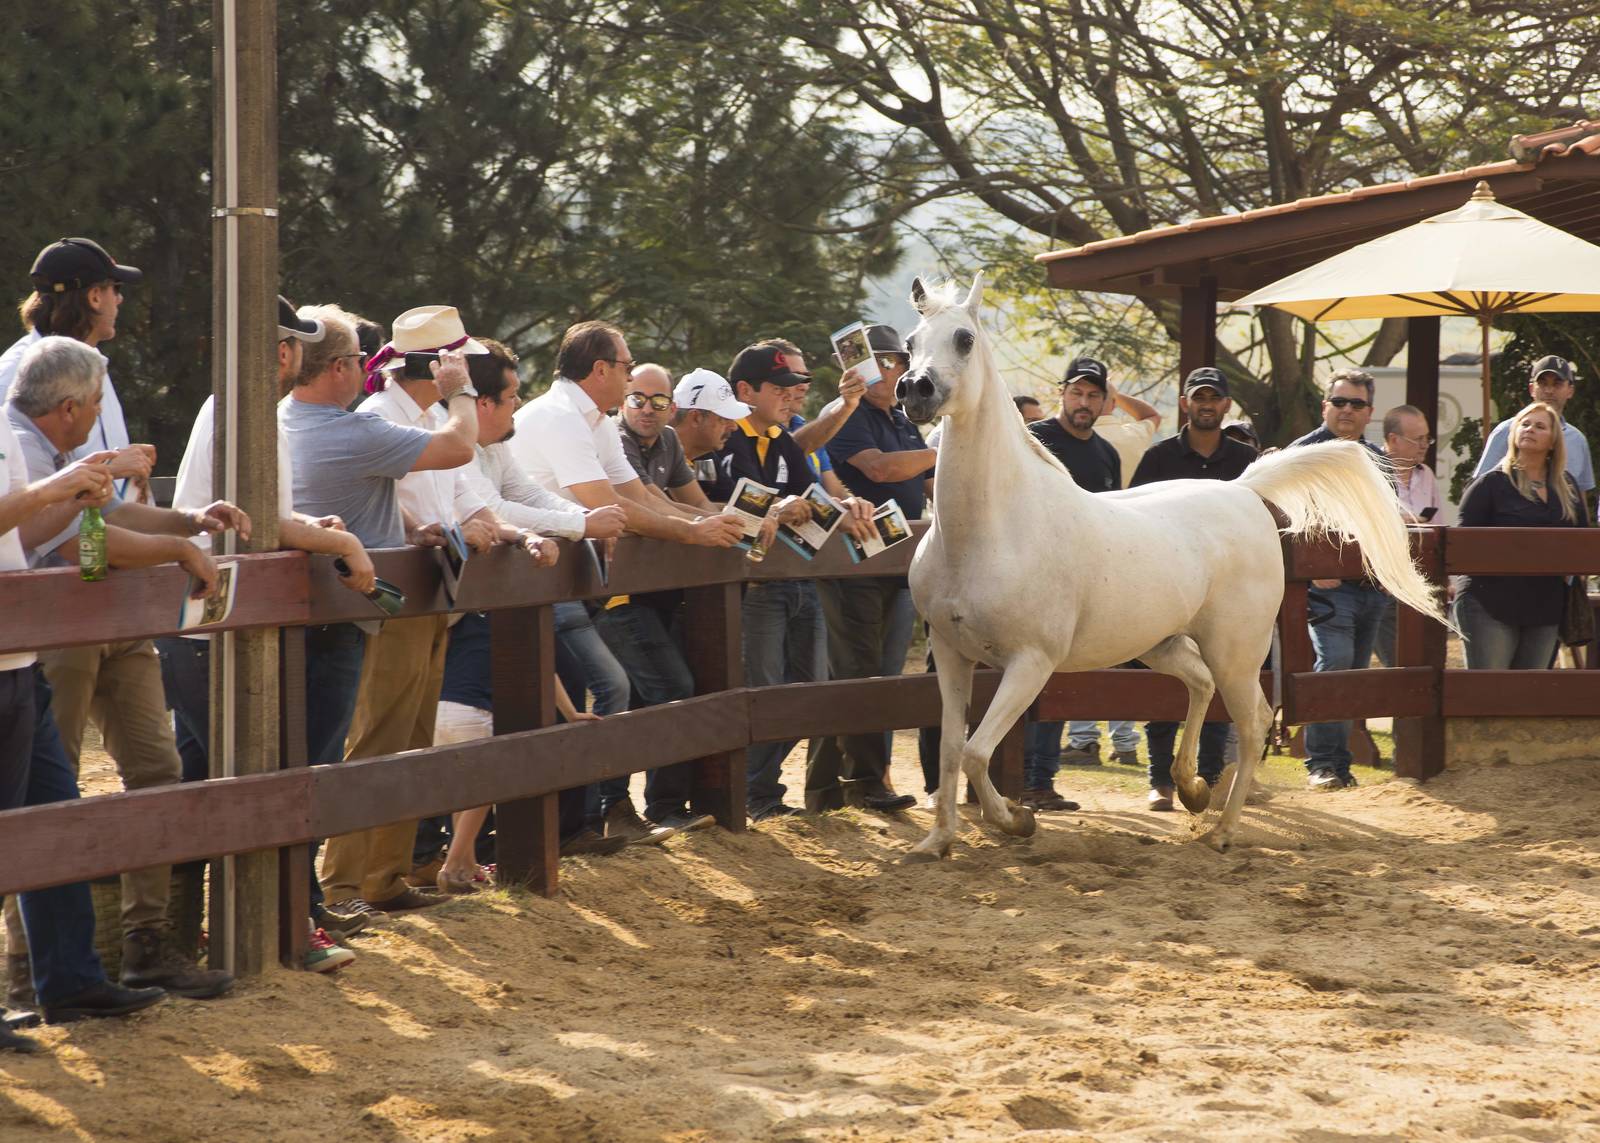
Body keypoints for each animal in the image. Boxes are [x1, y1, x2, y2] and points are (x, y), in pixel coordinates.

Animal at [896, 274, 1445, 859]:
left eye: (964, 339)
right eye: (910, 341)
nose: (914, 390)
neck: (991, 531)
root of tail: (1243, 490)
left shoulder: (1030, 663)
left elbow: (975, 752)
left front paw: (1017, 820)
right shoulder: (951, 653)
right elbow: (951, 748)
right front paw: (936, 841)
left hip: (1235, 652)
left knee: (1252, 721)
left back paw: (1222, 829)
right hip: (1162, 644)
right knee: (1200, 686)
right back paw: (1190, 788)